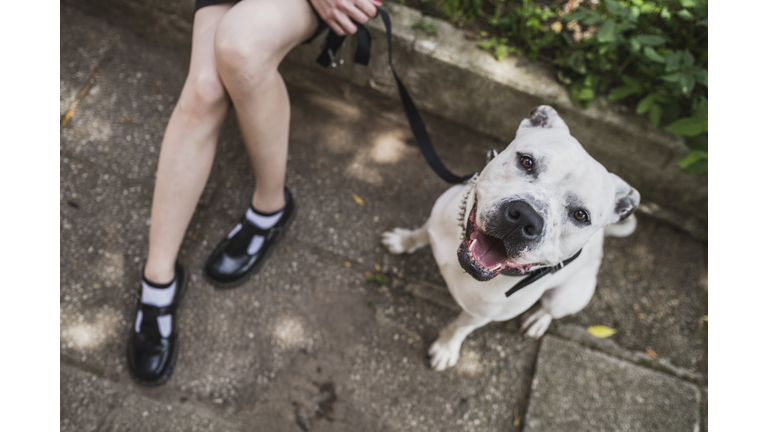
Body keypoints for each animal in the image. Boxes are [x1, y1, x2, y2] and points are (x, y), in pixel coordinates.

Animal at [380, 105, 640, 372]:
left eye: (580, 215)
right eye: (527, 161)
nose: (525, 217)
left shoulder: (478, 316)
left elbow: (458, 328)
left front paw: (445, 348)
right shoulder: (435, 222)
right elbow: (420, 233)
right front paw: (403, 241)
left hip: (565, 298)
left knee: (550, 309)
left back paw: (538, 319)